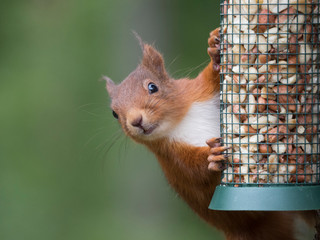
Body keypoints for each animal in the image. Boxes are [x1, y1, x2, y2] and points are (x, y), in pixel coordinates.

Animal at [104, 28, 316, 240]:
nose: (135, 121)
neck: (178, 123)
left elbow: (213, 78)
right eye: (114, 113)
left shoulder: (199, 90)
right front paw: (211, 157)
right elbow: (194, 174)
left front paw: (215, 49)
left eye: (152, 87)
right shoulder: (171, 158)